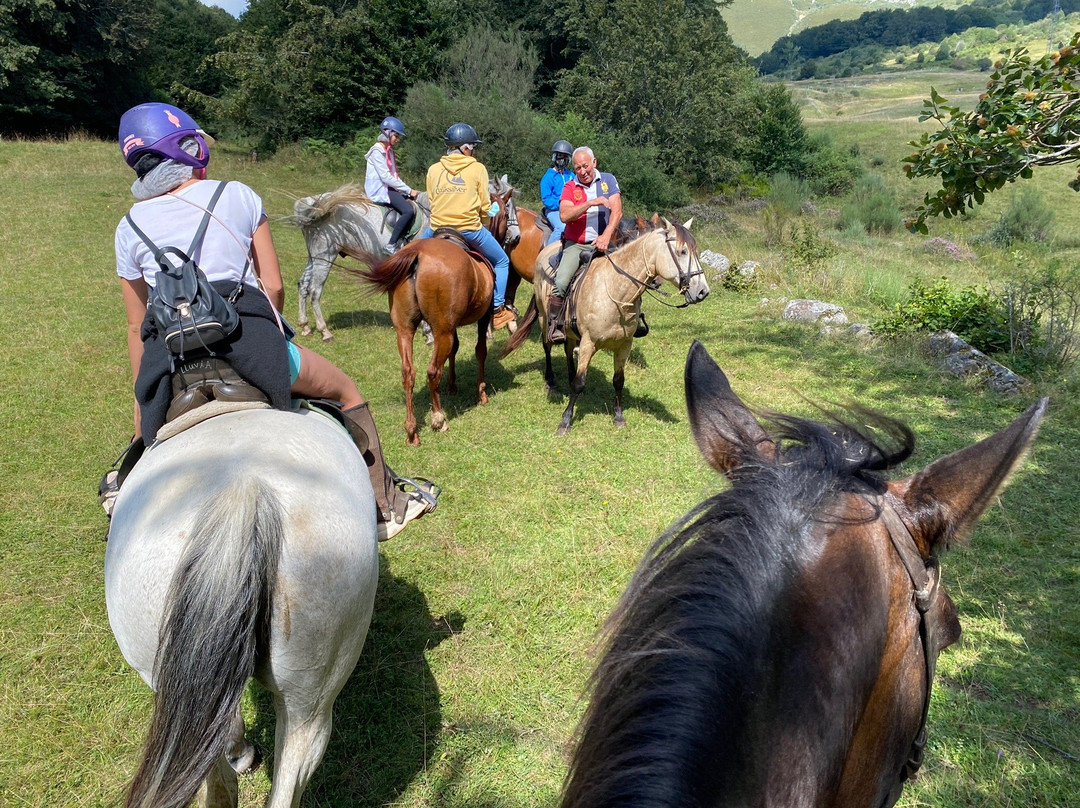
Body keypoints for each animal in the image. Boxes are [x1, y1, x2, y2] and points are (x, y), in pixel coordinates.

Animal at [287, 185, 429, 341]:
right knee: (314, 290)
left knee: (303, 285)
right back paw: (325, 332)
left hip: (313, 256)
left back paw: (305, 326)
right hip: (324, 256)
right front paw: (427, 330)